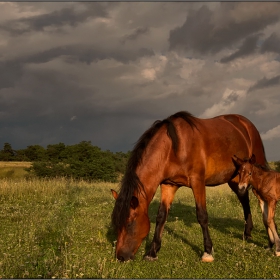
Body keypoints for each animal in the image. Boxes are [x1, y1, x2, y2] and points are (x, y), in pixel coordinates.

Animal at [111, 111, 266, 262]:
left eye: (129, 224)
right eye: (117, 224)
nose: (121, 257)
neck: (174, 147)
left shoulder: (197, 182)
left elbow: (202, 216)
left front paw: (208, 252)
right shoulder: (168, 185)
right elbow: (161, 216)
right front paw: (152, 252)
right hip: (235, 178)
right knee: (244, 199)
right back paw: (247, 233)